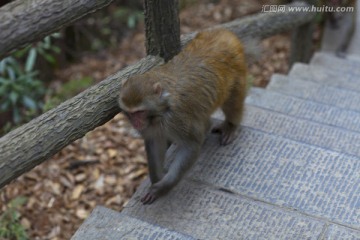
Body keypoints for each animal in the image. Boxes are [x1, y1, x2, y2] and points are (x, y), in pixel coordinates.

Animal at [118, 28, 248, 204]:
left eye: (140, 112)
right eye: (131, 114)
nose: (136, 123)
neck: (161, 111)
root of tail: (223, 32)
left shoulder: (176, 119)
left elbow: (190, 145)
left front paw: (164, 186)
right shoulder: (152, 127)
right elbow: (154, 143)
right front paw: (156, 179)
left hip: (237, 70)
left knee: (232, 102)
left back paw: (231, 126)